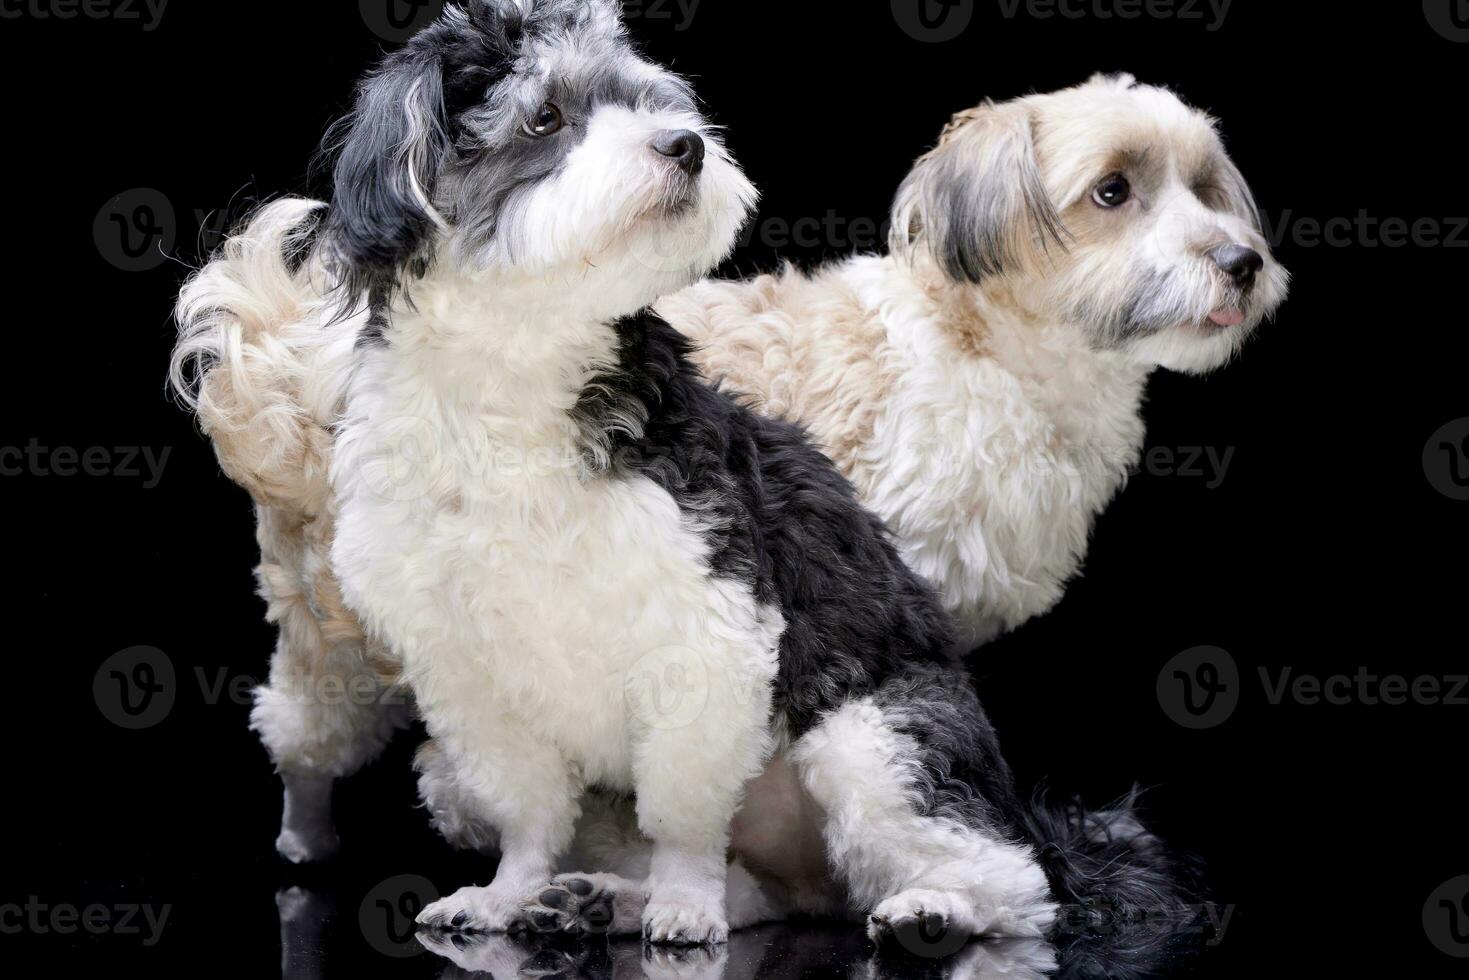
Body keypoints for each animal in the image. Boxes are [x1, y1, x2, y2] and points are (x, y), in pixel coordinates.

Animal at [174, 0, 1181, 952]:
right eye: (545, 117)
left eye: (650, 101)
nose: (684, 145)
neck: (514, 373)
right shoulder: (466, 671)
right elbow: (527, 811)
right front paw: (509, 893)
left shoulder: (704, 637)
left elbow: (687, 822)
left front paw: (682, 906)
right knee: (761, 896)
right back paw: (595, 899)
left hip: (878, 740)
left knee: (1009, 881)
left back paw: (928, 908)